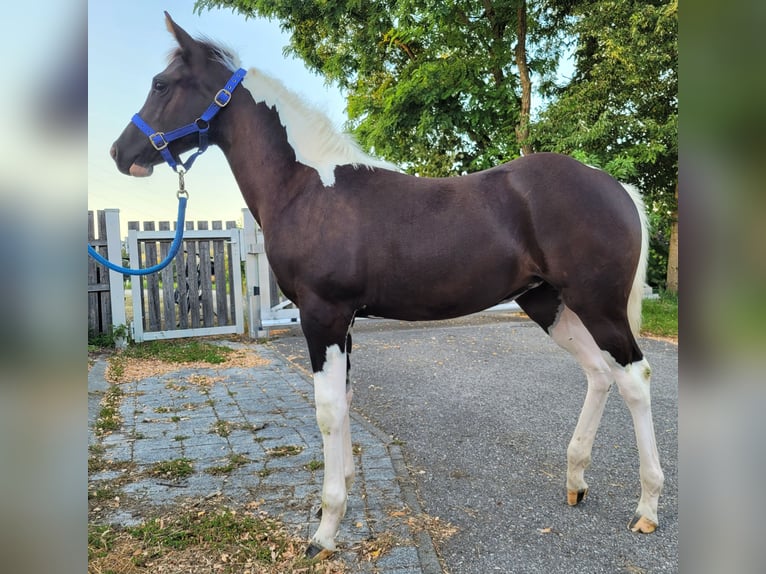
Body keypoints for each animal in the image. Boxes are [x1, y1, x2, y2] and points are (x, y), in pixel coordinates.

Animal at [110, 12, 664, 559]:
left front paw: (325, 531)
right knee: (599, 374)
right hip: (548, 303)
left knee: (635, 378)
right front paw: (344, 496)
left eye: (162, 84)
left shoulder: (323, 315)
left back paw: (647, 508)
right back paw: (576, 482)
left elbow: (328, 410)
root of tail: (615, 186)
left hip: (598, 305)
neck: (307, 188)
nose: (120, 152)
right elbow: (345, 400)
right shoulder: (344, 323)